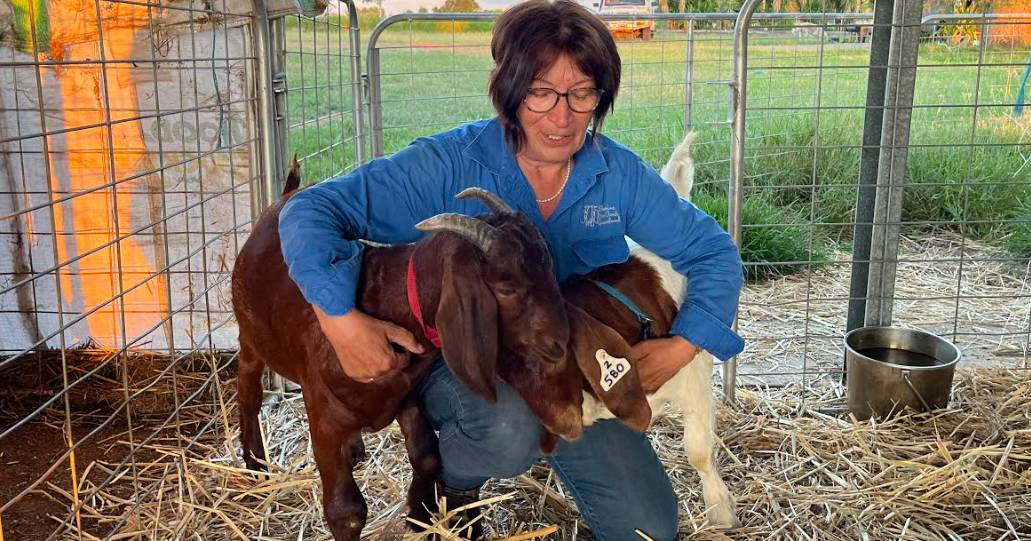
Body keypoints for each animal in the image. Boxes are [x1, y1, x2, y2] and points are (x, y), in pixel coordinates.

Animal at [233, 161, 581, 539]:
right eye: (506, 289)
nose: (559, 343)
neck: (389, 305)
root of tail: (286, 196)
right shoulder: (322, 413)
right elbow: (346, 511)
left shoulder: (408, 394)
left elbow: (427, 455)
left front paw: (420, 514)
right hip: (249, 336)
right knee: (248, 390)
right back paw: (255, 465)